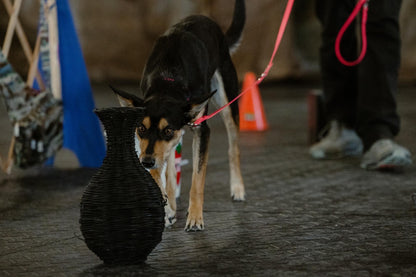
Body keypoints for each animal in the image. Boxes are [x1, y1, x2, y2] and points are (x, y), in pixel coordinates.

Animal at [112, 0, 245, 231]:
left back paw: (237, 188)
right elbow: (160, 175)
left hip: (228, 101)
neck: (168, 80)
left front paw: (195, 218)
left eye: (167, 130)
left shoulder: (201, 129)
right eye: (141, 128)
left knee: (233, 147)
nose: (145, 162)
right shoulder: (152, 147)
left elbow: (197, 180)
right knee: (170, 165)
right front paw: (166, 212)